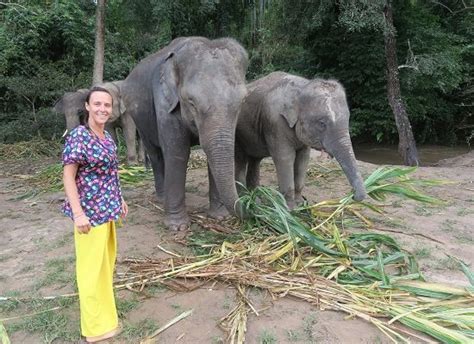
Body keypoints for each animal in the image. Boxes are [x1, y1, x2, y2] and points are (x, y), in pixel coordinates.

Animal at [120, 36, 248, 230]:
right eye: (191, 102)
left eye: (242, 102)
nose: (250, 206)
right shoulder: (165, 102)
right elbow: (177, 153)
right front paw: (177, 227)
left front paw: (220, 217)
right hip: (138, 119)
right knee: (156, 155)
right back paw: (161, 198)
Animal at [236, 71, 366, 208]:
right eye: (321, 123)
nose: (352, 195)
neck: (302, 86)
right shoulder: (275, 122)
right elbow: (285, 158)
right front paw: (289, 208)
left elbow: (303, 158)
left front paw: (301, 203)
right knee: (241, 160)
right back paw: (245, 198)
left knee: (255, 160)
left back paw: (255, 198)